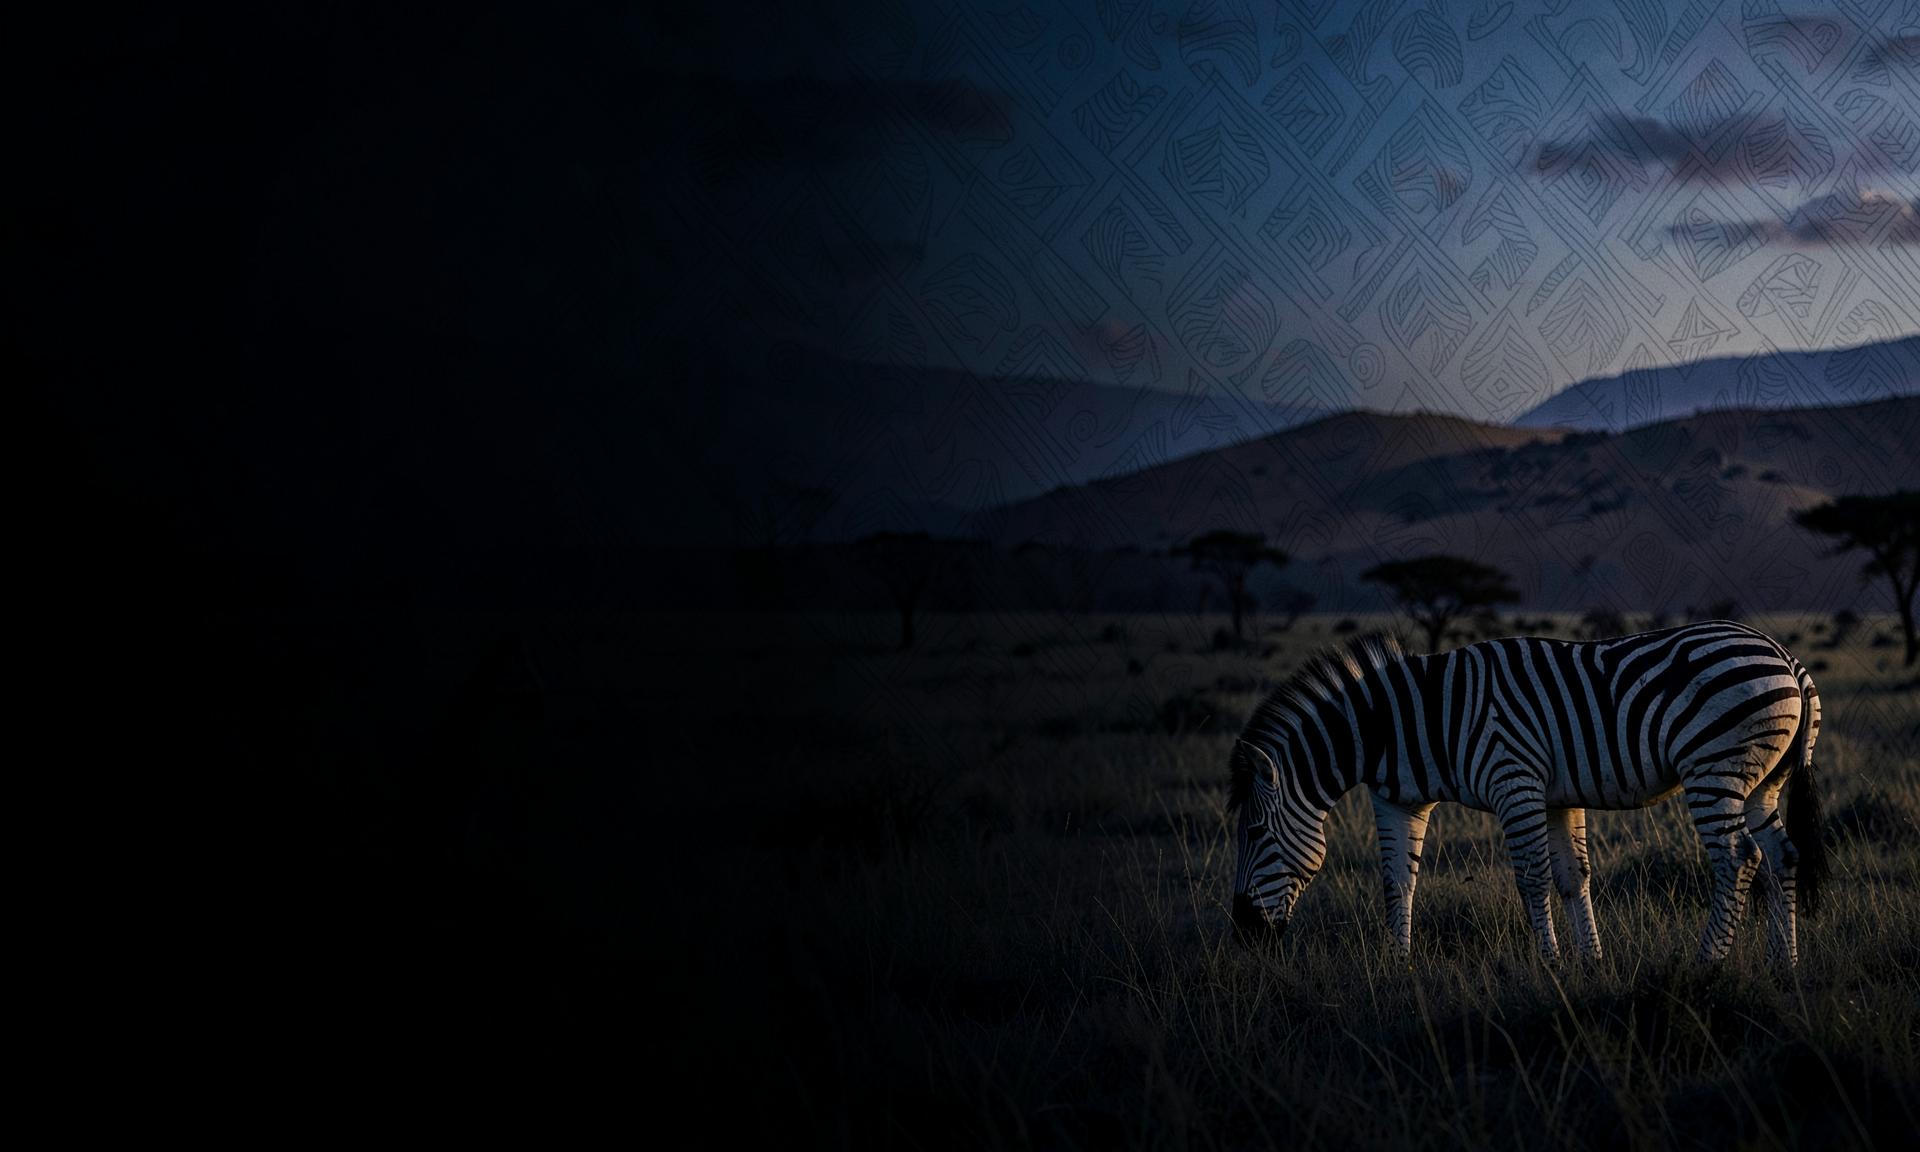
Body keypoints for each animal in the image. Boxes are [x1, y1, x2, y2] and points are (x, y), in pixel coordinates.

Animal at [1228, 621, 1828, 966]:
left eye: (1253, 833)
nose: (1244, 931)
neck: (1404, 719)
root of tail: (1786, 656)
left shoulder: (1514, 780)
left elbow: (1533, 877)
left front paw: (1550, 965)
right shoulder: (1403, 798)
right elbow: (1401, 881)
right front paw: (1398, 965)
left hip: (1714, 769)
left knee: (1739, 858)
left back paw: (1707, 966)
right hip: (1761, 781)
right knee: (1781, 855)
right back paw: (1784, 965)